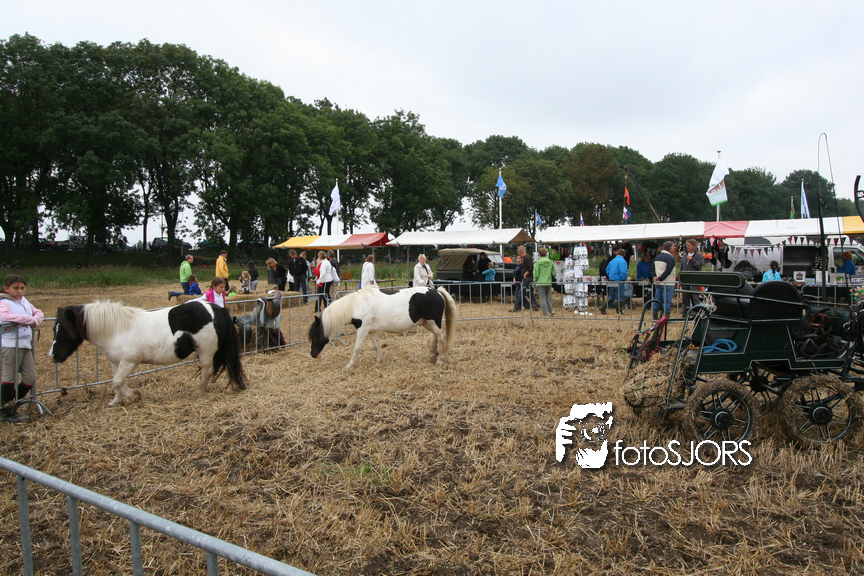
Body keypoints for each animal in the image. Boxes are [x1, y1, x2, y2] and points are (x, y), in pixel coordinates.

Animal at [49, 299, 246, 406]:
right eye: (54, 329)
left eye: (64, 330)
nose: (53, 355)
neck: (117, 329)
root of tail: (216, 308)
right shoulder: (115, 362)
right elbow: (115, 382)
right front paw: (116, 401)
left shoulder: (129, 362)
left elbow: (118, 381)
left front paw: (135, 395)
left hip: (206, 352)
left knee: (207, 371)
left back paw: (198, 392)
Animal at [308, 285, 457, 369]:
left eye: (317, 335)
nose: (313, 354)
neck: (356, 305)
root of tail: (437, 291)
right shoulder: (372, 330)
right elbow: (376, 346)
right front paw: (379, 362)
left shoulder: (363, 329)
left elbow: (357, 348)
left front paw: (349, 365)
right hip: (427, 322)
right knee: (437, 336)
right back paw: (432, 355)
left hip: (432, 321)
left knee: (441, 337)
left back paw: (440, 359)